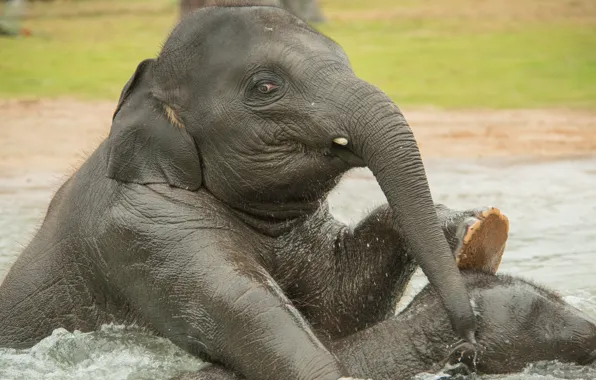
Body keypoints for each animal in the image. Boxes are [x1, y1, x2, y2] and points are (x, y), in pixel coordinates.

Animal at [1, 5, 502, 380]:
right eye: (266, 86)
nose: (468, 334)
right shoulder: (148, 235)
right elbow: (263, 322)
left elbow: (339, 309)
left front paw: (471, 226)